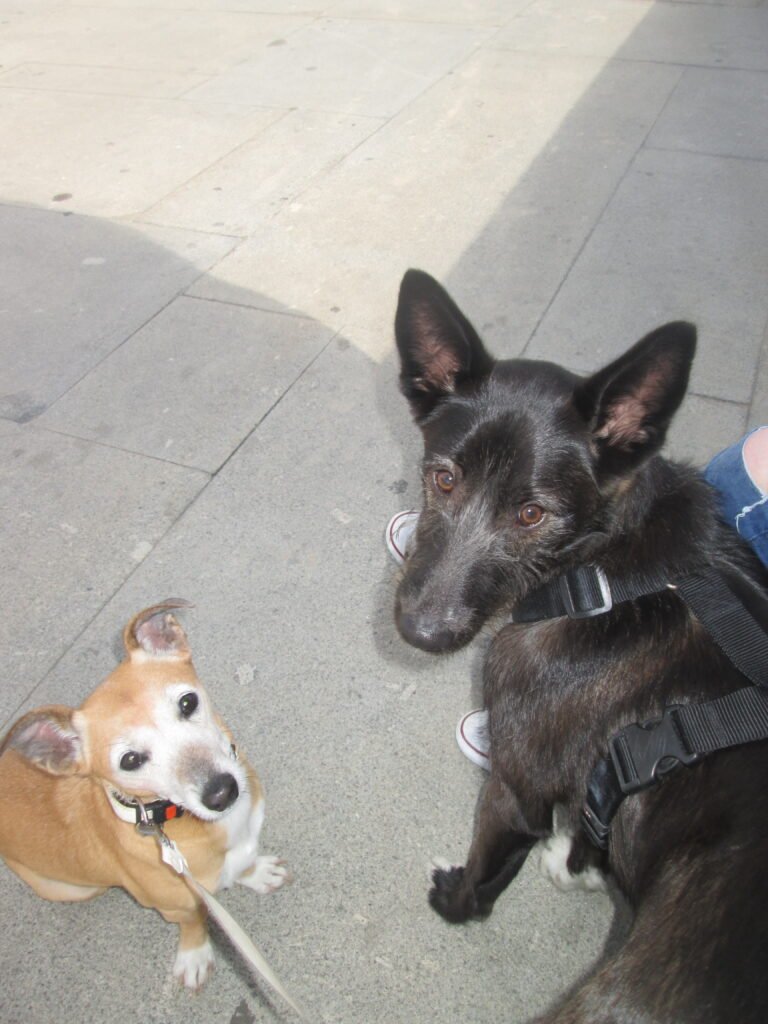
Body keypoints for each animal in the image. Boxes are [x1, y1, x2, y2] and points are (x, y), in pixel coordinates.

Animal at [0, 602, 290, 987]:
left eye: (188, 702)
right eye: (130, 760)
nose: (222, 792)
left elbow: (243, 864)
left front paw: (255, 873)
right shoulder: (176, 905)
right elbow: (193, 922)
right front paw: (195, 953)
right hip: (73, 888)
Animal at [397, 270, 768, 1024]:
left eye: (531, 514)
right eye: (443, 478)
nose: (420, 632)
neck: (601, 571)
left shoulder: (514, 792)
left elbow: (486, 877)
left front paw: (455, 899)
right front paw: (579, 865)